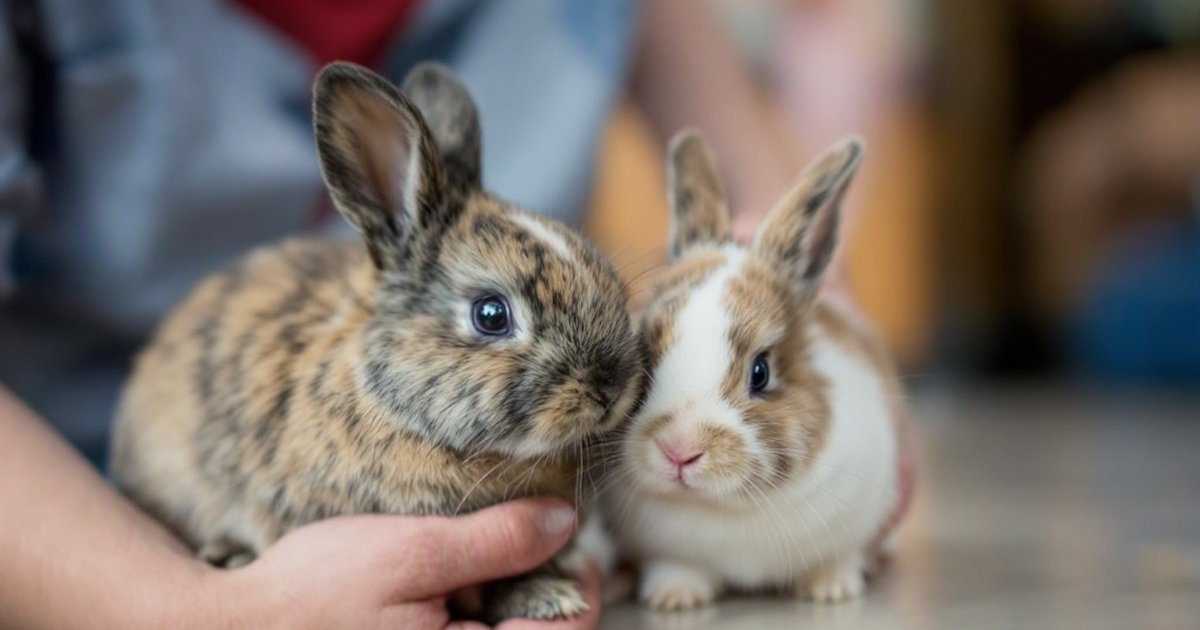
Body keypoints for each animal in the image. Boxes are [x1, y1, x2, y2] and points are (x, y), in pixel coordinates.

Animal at [599, 131, 914, 611]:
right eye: (646, 357)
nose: (679, 451)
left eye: (761, 372)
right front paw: (673, 597)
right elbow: (675, 566)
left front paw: (831, 589)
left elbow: (841, 557)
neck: (730, 508)